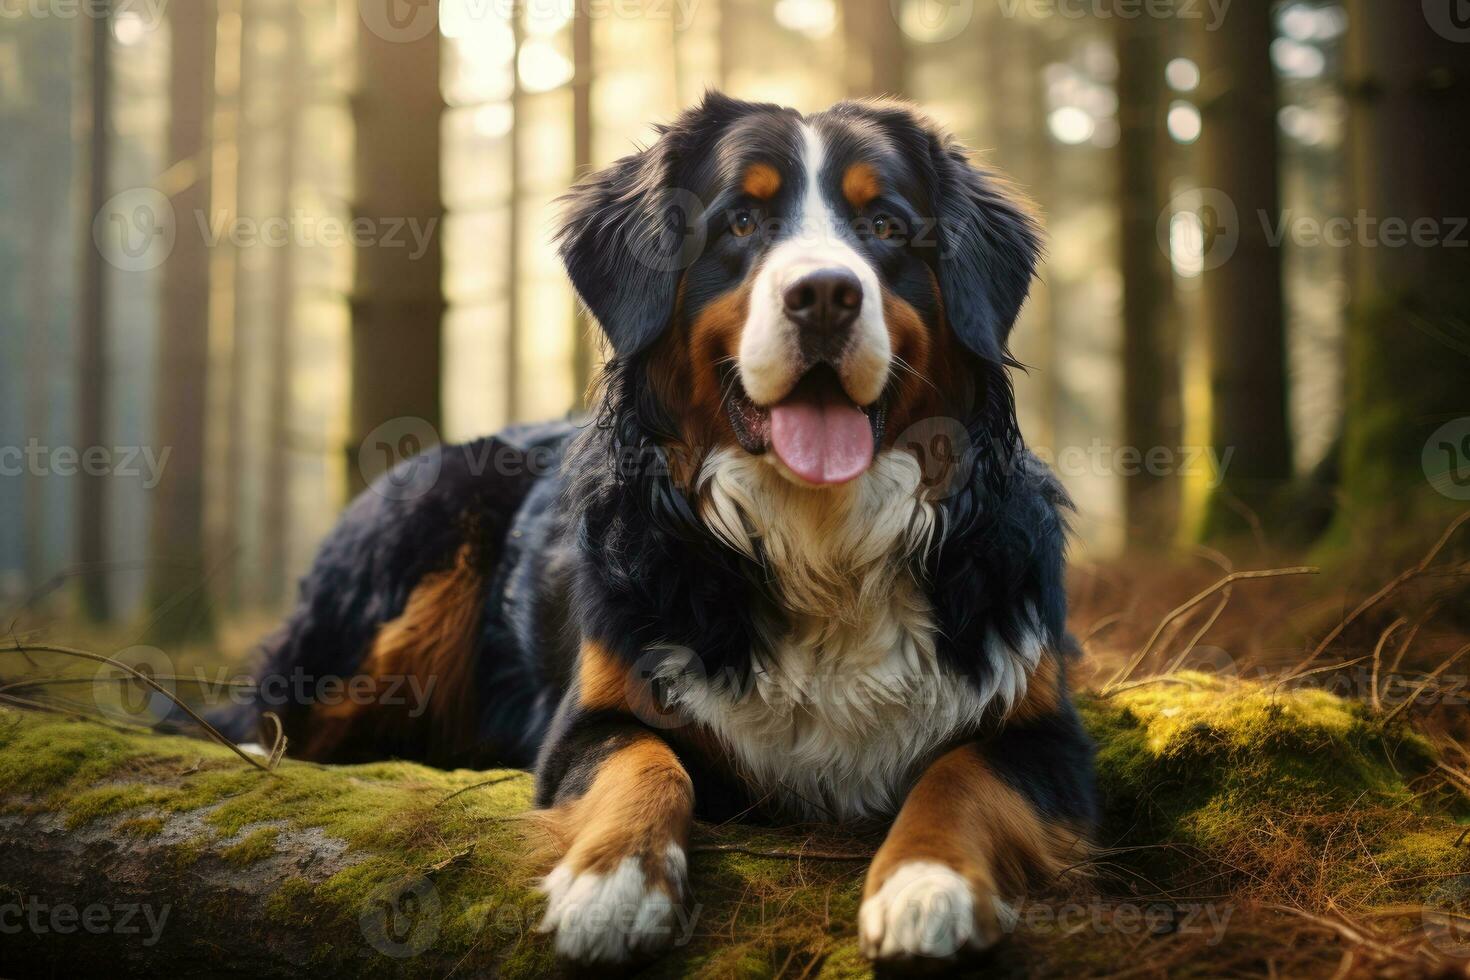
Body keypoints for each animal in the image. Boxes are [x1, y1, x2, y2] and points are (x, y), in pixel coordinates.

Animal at [223, 95, 1099, 969]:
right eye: (741, 220)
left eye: (884, 225)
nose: (824, 294)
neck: (820, 540)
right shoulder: (594, 711)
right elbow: (643, 761)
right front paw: (613, 881)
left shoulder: (1044, 727)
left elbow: (960, 777)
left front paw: (927, 884)